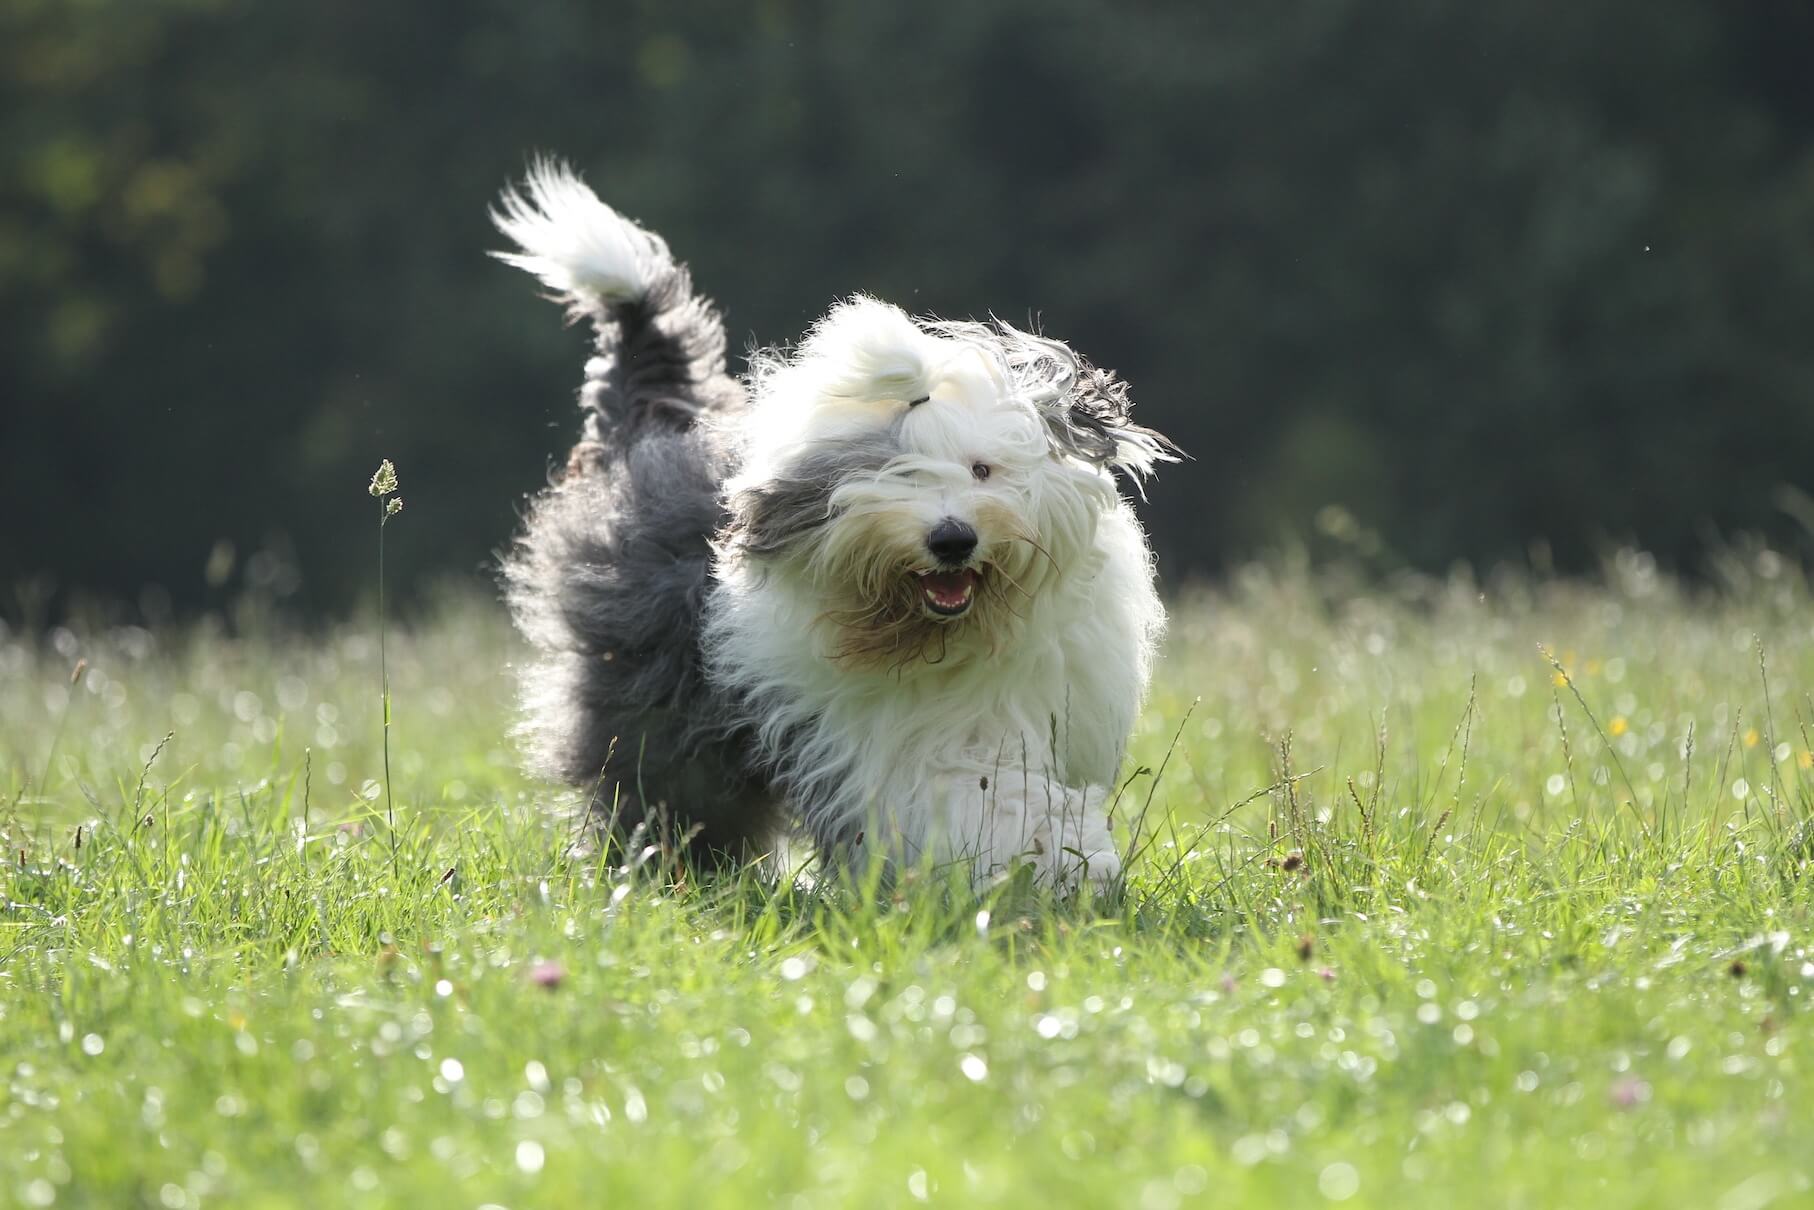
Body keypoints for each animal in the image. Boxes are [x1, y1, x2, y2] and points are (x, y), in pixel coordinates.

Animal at [493, 158, 1175, 888]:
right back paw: (671, 871)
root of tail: (648, 426)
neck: (937, 640)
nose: (952, 538)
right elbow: (980, 796)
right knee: (663, 783)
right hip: (651, 689)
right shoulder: (892, 743)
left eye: (981, 469)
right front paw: (1063, 860)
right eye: (888, 474)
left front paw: (1074, 864)